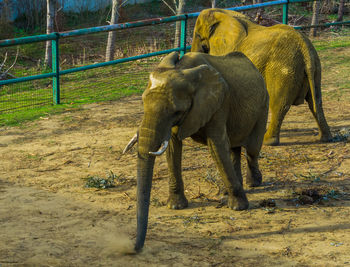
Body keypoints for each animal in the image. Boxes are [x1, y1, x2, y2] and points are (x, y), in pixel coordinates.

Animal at [124, 50, 270, 253]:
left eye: (176, 111)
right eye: (143, 102)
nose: (132, 249)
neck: (184, 69)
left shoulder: (218, 103)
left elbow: (216, 145)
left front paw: (239, 208)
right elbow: (173, 146)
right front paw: (175, 206)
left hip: (264, 103)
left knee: (252, 149)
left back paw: (253, 183)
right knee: (234, 148)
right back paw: (230, 190)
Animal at [190, 8, 332, 147]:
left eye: (198, 35)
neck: (225, 14)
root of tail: (305, 49)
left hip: (283, 69)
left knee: (279, 104)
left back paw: (267, 141)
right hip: (315, 68)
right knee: (316, 101)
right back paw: (325, 138)